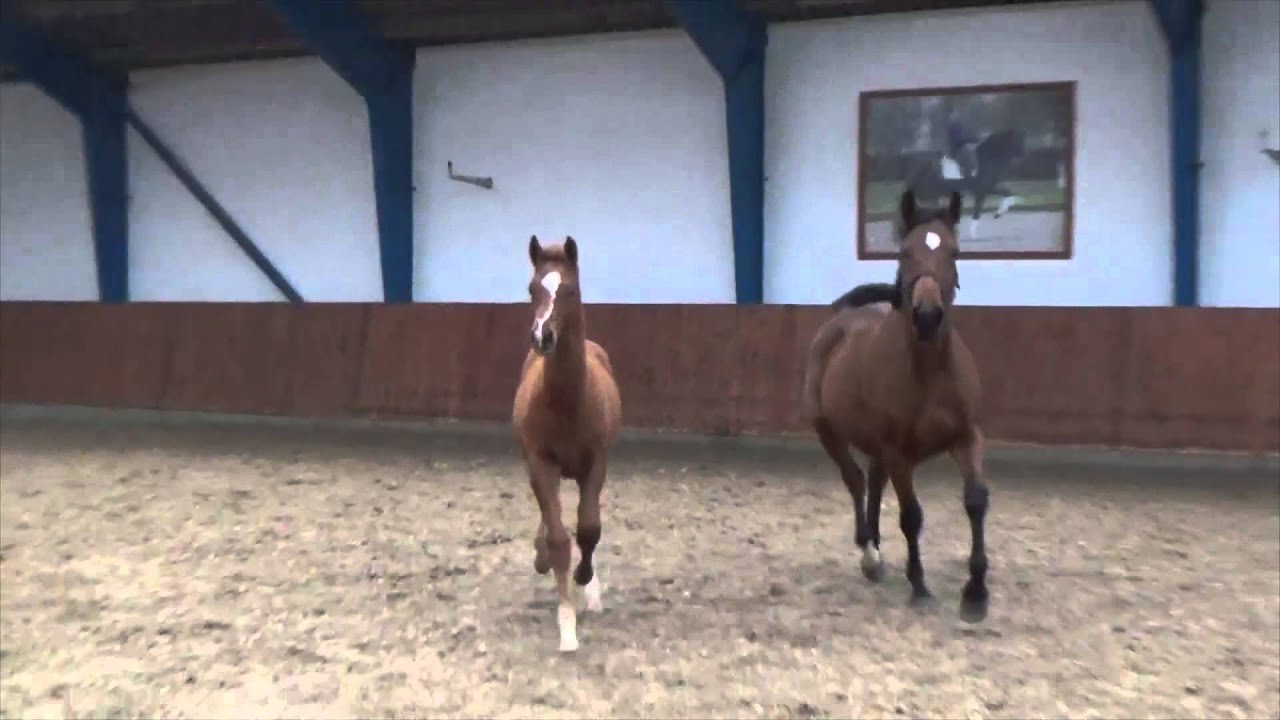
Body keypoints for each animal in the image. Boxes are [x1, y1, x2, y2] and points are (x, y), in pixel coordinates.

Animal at [512, 235, 623, 652]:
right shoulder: (540, 463)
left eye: (570, 290)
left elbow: (589, 529)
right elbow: (559, 538)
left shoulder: (596, 463)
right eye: (532, 288)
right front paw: (567, 625)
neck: (569, 401)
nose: (542, 337)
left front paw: (584, 580)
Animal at [803, 188, 991, 620]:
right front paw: (919, 586)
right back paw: (869, 554)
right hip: (830, 433)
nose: (927, 316)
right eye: (904, 251)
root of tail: (840, 322)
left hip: (876, 446)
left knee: (873, 481)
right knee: (856, 480)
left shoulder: (966, 437)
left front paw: (976, 592)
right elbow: (911, 516)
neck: (929, 371)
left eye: (954, 252)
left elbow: (975, 500)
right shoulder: (899, 453)